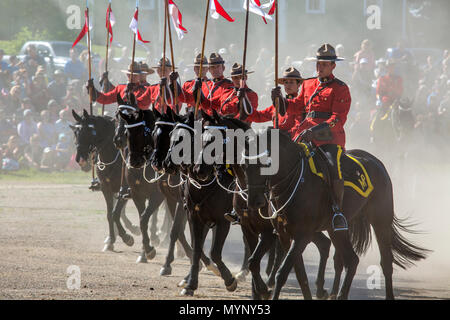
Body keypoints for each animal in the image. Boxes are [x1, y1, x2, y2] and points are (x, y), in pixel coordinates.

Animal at [70, 109, 137, 251]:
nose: (80, 159)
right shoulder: (107, 189)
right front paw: (111, 240)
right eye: (76, 132)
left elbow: (115, 213)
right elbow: (109, 214)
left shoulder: (125, 189)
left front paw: (127, 237)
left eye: (89, 131)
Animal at [243, 126, 428, 298]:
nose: (254, 201)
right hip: (336, 230)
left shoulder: (302, 235)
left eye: (266, 163)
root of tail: (377, 162)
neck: (295, 180)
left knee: (386, 262)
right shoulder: (284, 235)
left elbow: (282, 273)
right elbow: (296, 273)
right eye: (245, 166)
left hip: (381, 221)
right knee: (351, 260)